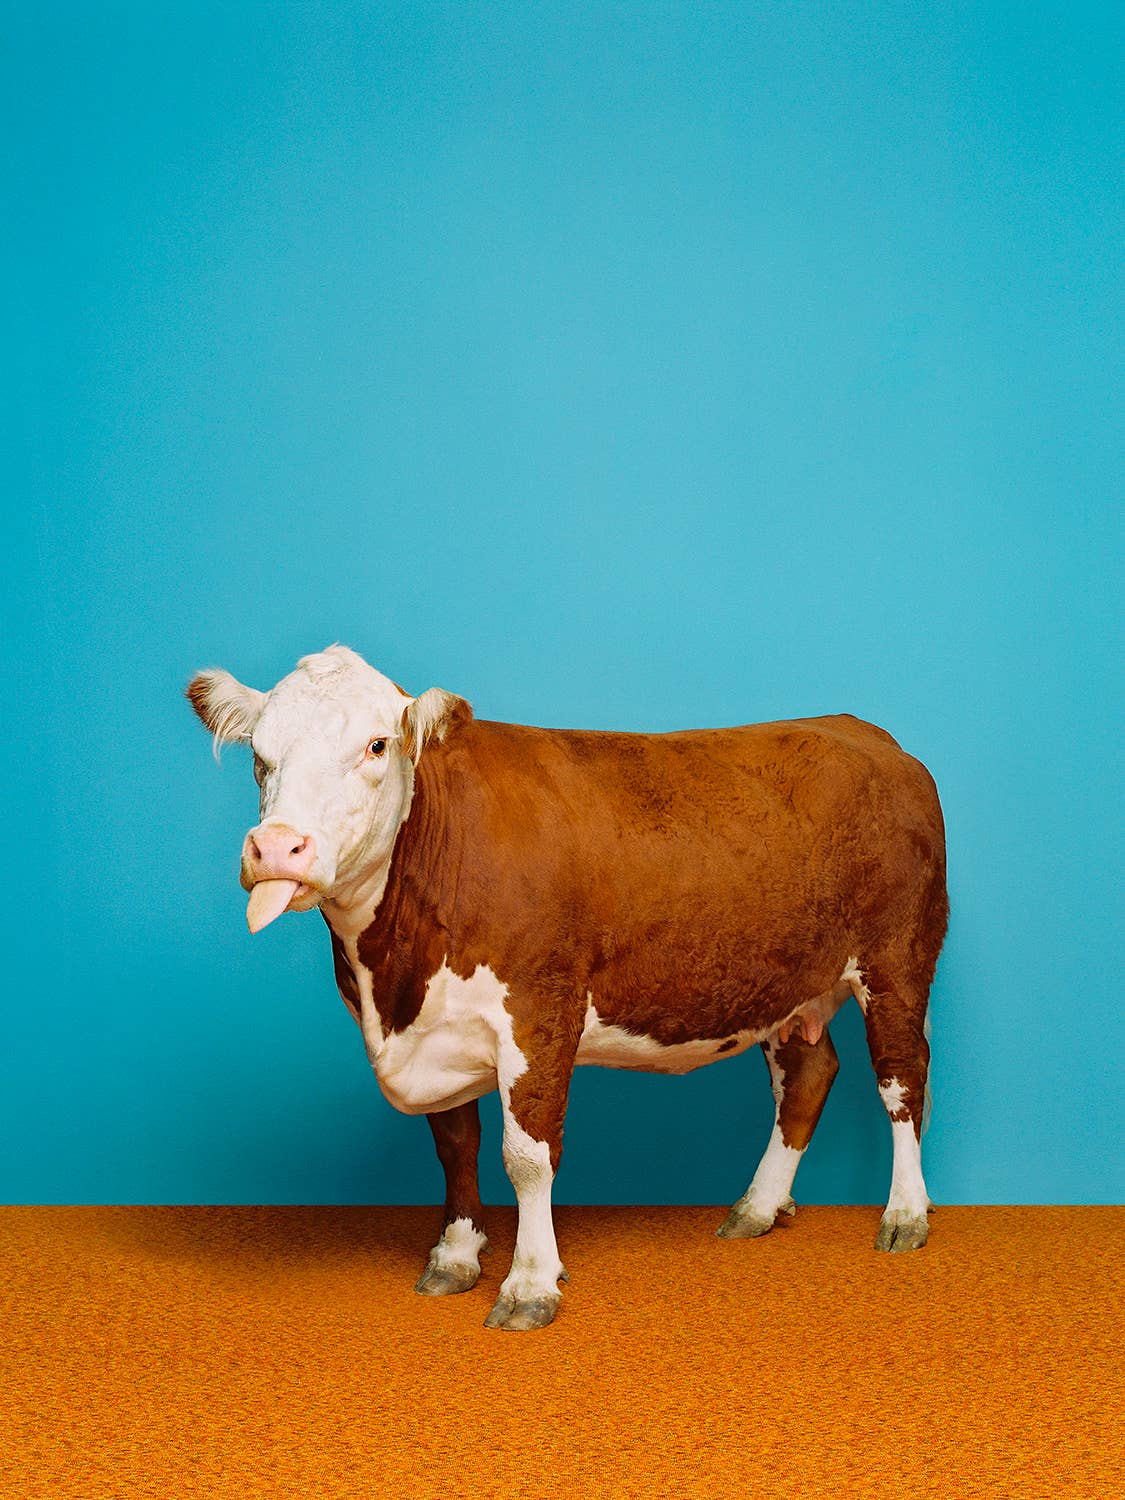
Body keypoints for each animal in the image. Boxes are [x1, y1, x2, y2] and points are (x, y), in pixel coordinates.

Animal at [187, 645, 948, 1332]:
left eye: (377, 744)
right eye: (259, 754)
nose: (277, 847)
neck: (393, 986)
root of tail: (866, 734)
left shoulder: (541, 1012)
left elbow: (527, 1155)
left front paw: (529, 1283)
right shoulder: (442, 1027)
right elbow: (455, 1143)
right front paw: (456, 1255)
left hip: (897, 960)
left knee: (901, 1078)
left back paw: (905, 1213)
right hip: (786, 986)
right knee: (808, 1074)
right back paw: (757, 1206)